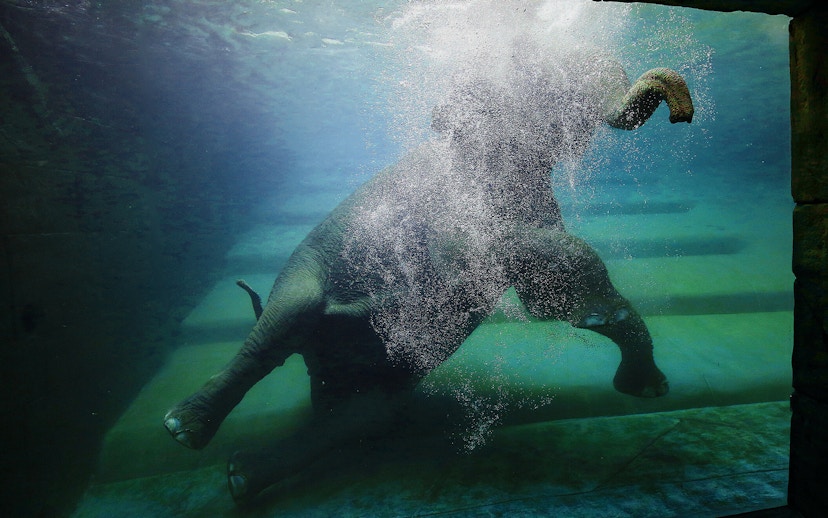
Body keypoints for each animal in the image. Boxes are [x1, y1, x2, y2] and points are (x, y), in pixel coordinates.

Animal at [163, 46, 693, 504]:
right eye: (540, 81)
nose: (681, 113)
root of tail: (319, 368)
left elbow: (544, 286)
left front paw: (635, 370)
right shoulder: (452, 203)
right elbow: (507, 252)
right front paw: (609, 327)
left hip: (381, 382)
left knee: (358, 417)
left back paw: (239, 476)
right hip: (302, 271)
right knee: (285, 324)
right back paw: (183, 429)